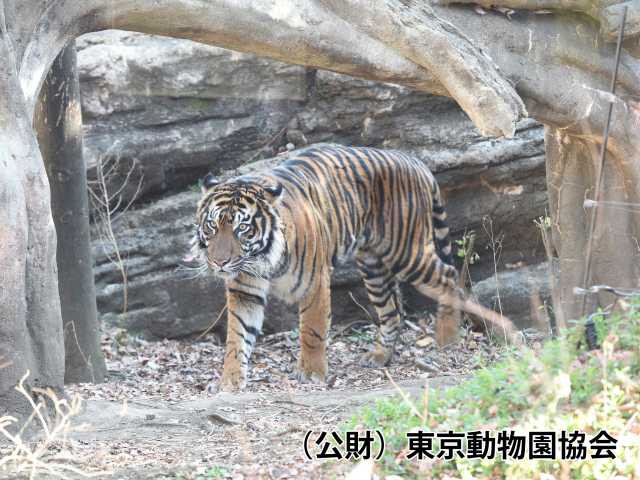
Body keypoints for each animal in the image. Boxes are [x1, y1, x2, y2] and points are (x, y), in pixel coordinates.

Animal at [190, 142, 510, 390]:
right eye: (212, 226)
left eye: (242, 229)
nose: (220, 262)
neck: (262, 258)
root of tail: (415, 160)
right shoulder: (245, 291)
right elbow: (237, 337)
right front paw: (230, 381)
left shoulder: (314, 283)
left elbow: (313, 330)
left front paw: (311, 373)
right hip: (373, 266)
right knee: (392, 311)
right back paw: (380, 357)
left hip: (406, 252)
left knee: (448, 276)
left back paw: (447, 338)